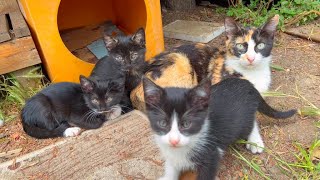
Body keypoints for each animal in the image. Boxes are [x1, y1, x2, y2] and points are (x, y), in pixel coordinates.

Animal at [142, 77, 296, 180]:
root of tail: (247, 83)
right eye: (163, 123)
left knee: (250, 123)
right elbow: (171, 167)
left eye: (186, 124)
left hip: (240, 121)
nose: (174, 141)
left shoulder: (211, 154)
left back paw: (255, 141)